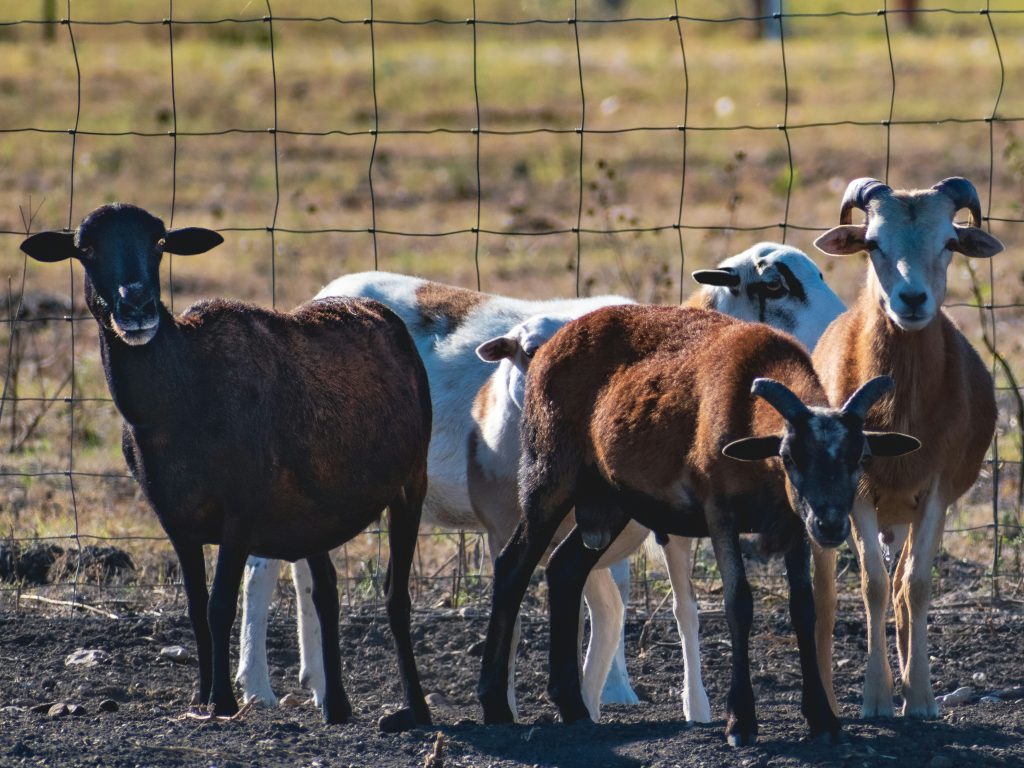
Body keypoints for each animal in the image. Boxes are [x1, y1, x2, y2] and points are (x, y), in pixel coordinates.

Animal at [19, 204, 434, 733]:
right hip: (314, 513)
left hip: (411, 480)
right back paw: (336, 706)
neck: (181, 393)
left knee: (396, 597)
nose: (138, 308)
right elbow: (196, 608)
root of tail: (376, 311)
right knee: (326, 593)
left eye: (159, 244)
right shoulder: (175, 519)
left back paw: (416, 709)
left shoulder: (240, 511)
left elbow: (219, 606)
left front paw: (222, 701)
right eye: (85, 248)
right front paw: (201, 696)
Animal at [479, 305, 921, 745]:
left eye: (861, 457)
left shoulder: (794, 522)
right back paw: (495, 704)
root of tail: (552, 345)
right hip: (550, 472)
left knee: (564, 568)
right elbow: (738, 603)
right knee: (513, 565)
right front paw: (740, 721)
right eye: (789, 456)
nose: (830, 526)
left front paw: (822, 718)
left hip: (612, 497)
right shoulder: (719, 512)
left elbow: (803, 606)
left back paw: (572, 707)